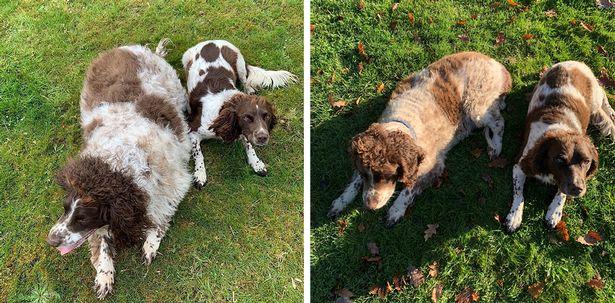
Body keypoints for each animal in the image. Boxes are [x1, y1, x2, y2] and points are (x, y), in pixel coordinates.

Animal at [46, 40, 192, 300]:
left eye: (82, 217)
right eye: (64, 209)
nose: (51, 240)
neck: (116, 169)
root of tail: (127, 48)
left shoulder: (172, 182)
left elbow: (159, 216)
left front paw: (151, 243)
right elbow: (102, 241)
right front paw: (104, 274)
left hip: (177, 91)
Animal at [182, 39, 298, 188]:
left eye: (266, 116)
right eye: (247, 117)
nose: (263, 137)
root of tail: (211, 41)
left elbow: (249, 145)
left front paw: (257, 163)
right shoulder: (193, 131)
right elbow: (198, 154)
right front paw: (200, 174)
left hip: (240, 64)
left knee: (244, 80)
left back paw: (249, 89)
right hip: (185, 58)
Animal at [330, 52, 512, 228]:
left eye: (386, 175)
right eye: (365, 173)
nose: (369, 206)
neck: (402, 123)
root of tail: (500, 67)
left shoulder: (432, 167)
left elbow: (409, 189)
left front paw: (395, 210)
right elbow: (355, 181)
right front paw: (340, 201)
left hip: (476, 106)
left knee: (499, 122)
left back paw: (496, 147)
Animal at [502, 61, 612, 233]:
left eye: (587, 161)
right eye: (560, 160)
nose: (578, 189)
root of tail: (577, 63)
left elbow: (561, 192)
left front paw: (554, 212)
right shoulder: (520, 164)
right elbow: (519, 193)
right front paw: (514, 217)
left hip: (594, 100)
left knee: (602, 97)